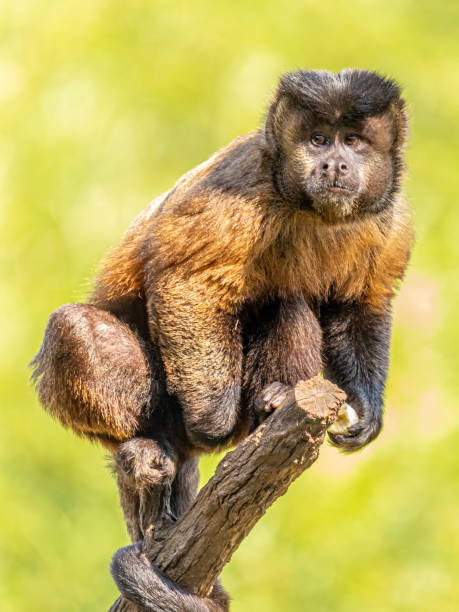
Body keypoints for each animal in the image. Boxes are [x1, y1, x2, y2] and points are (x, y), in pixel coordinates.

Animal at [31, 69, 414, 608]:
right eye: (318, 139)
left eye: (353, 142)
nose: (335, 162)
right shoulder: (237, 188)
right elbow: (185, 281)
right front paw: (212, 419)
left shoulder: (390, 219)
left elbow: (363, 305)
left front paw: (366, 411)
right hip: (161, 400)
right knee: (72, 328)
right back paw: (148, 445)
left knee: (287, 300)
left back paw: (272, 400)